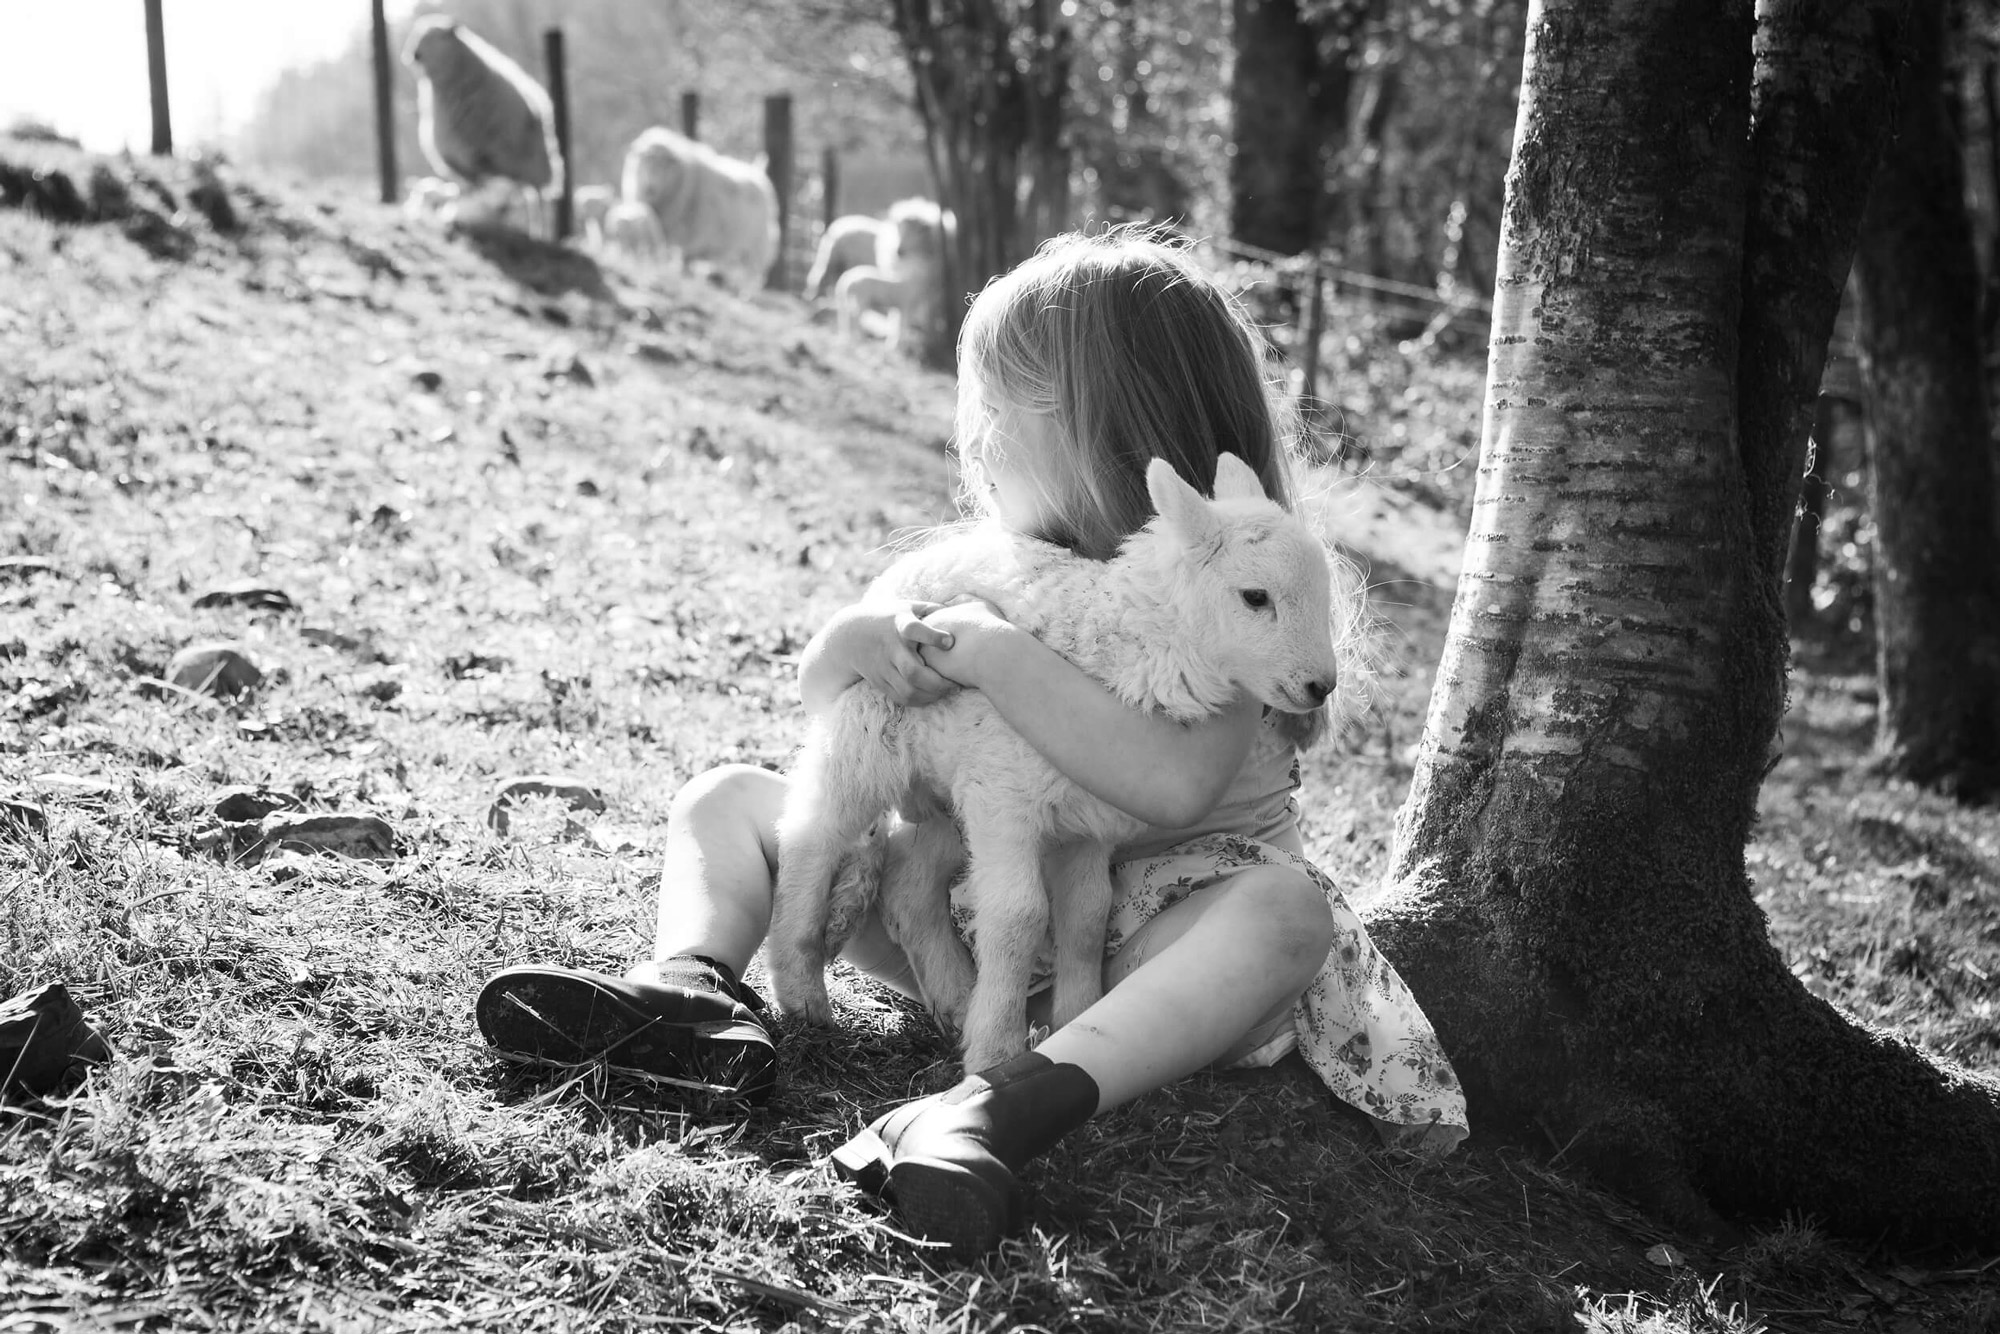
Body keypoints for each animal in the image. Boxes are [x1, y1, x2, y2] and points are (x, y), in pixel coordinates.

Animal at [402, 16, 561, 237]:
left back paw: (538, 231)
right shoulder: (463, 162)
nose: (415, 54)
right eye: (416, 35)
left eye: (439, 36)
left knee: (535, 197)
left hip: (532, 160)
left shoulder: (482, 156)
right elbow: (469, 192)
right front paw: (463, 214)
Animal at [620, 126, 779, 284]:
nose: (650, 188)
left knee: (753, 277)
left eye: (664, 166)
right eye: (645, 161)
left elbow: (682, 258)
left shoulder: (686, 233)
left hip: (757, 247)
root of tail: (758, 172)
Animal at [766, 453, 1341, 1074]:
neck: (1126, 655)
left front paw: (1072, 1017)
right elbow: (1018, 917)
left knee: (908, 888)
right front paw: (995, 1052)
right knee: (812, 832)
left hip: (944, 792)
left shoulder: (1086, 820)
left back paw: (955, 1002)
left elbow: (1088, 916)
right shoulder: (1004, 797)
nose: (1322, 686)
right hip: (870, 729)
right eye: (1255, 597)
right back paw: (801, 989)